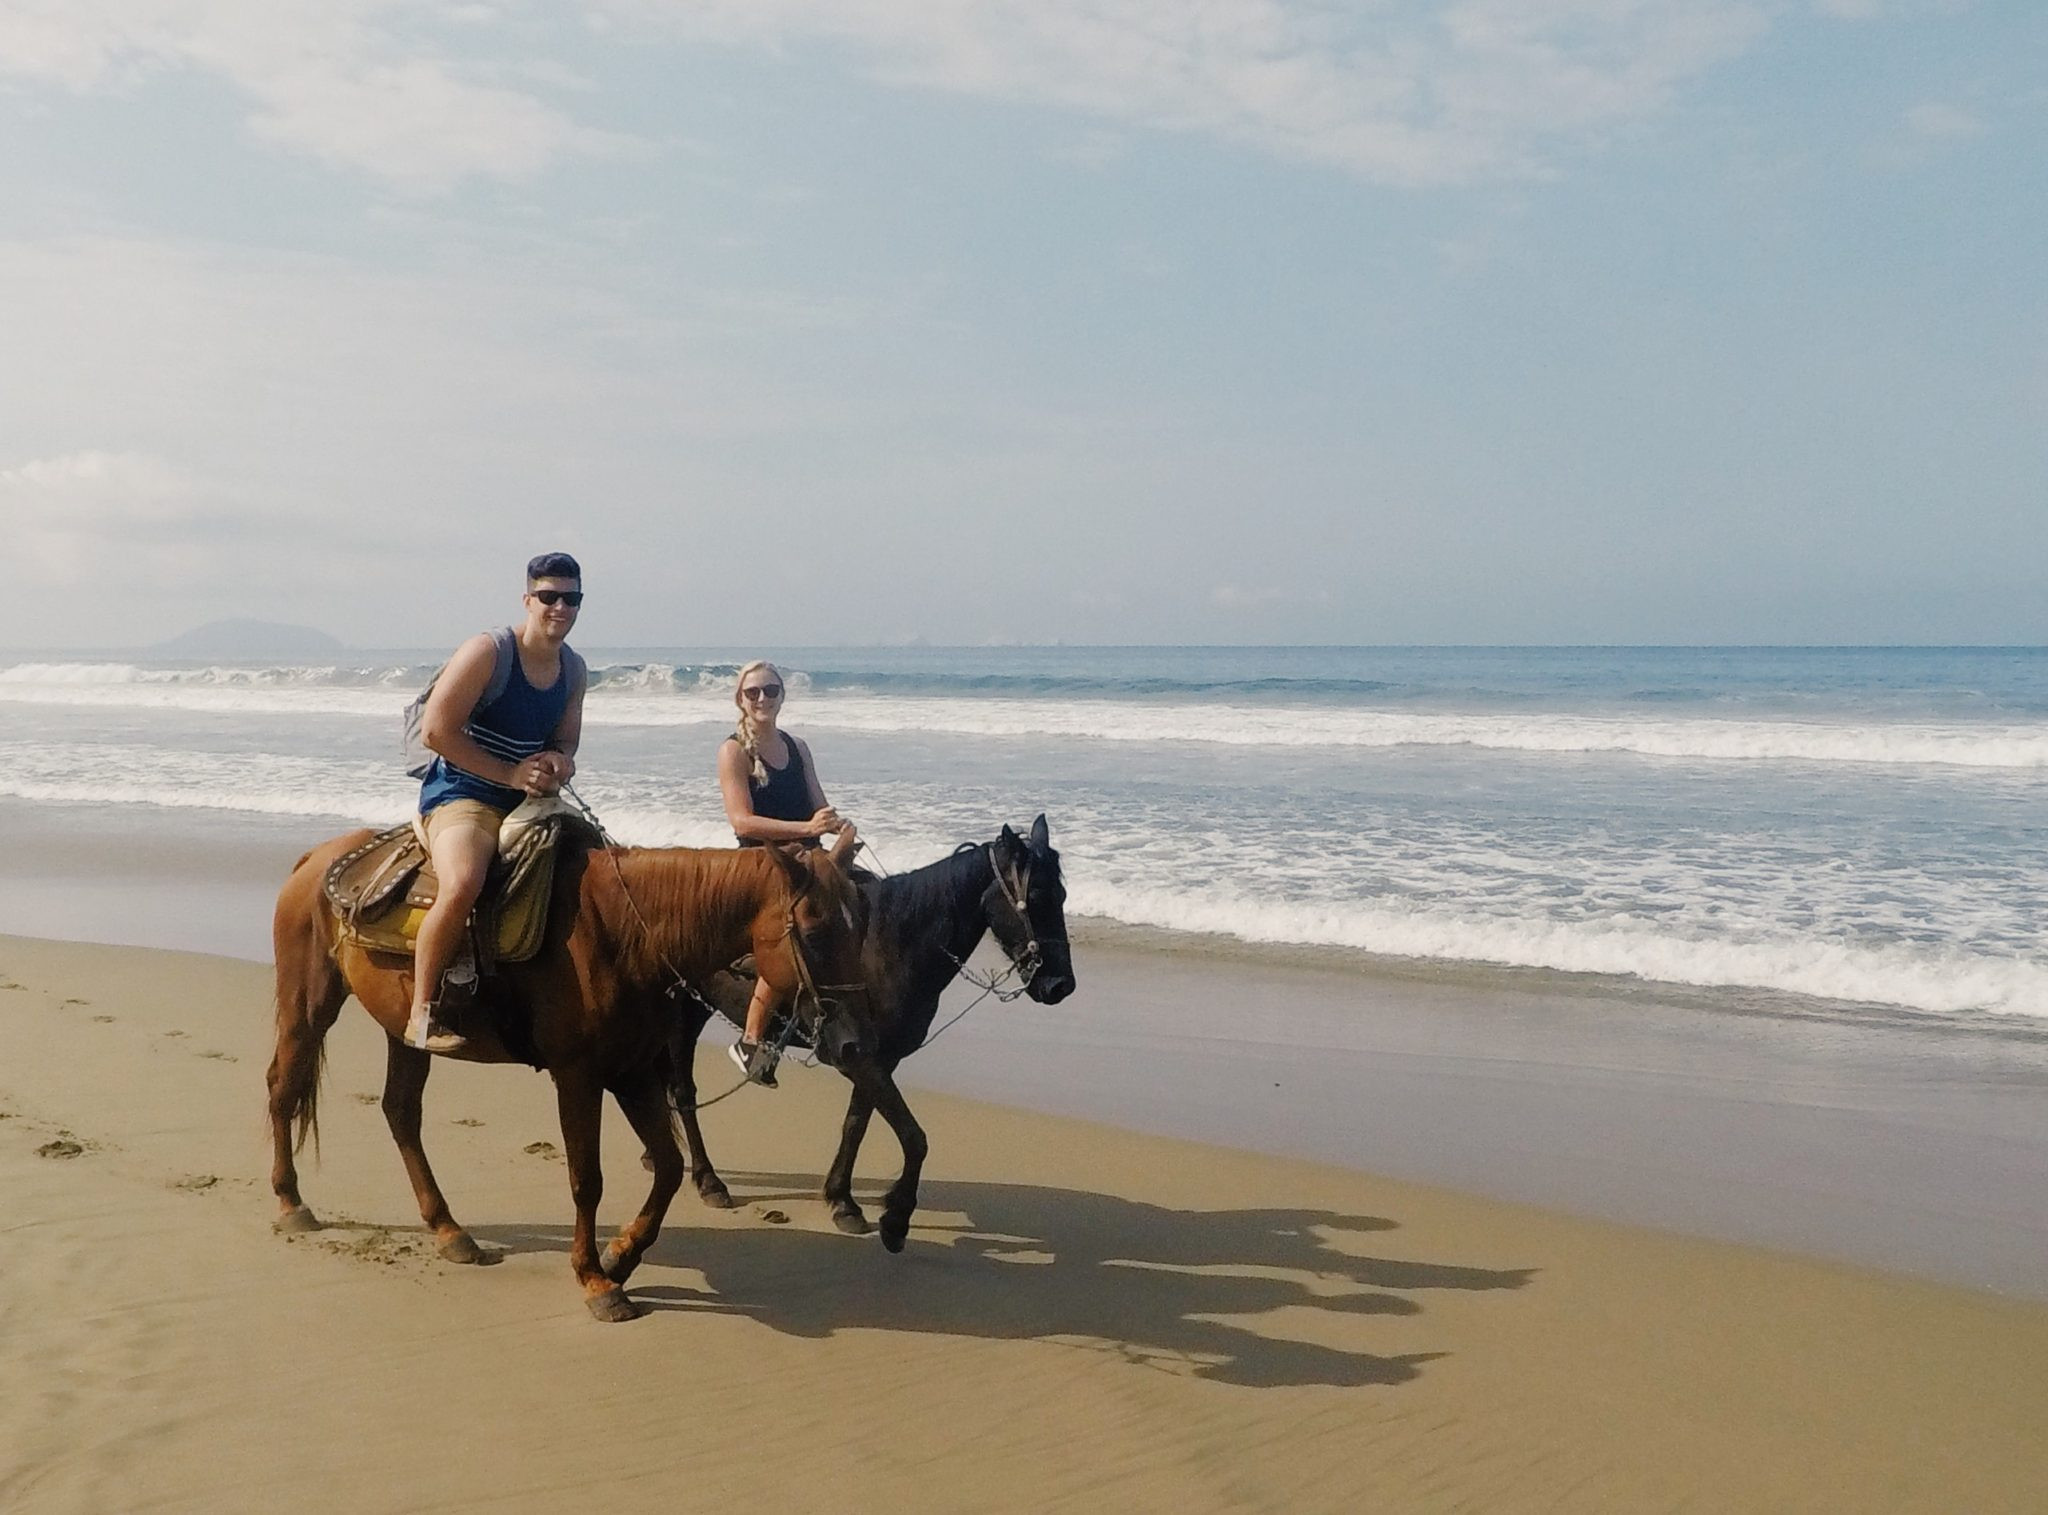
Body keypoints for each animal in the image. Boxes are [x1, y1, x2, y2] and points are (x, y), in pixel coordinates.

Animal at [266, 823, 864, 1318]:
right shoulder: (578, 1075)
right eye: (813, 932)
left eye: (856, 928)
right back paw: (292, 1201)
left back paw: (449, 1230)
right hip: (308, 1006)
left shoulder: (634, 1072)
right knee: (282, 1089)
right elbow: (586, 1179)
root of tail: (316, 859)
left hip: (406, 1029)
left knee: (400, 1112)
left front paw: (620, 1256)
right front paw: (595, 1280)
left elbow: (669, 1169)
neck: (627, 933)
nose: (852, 1041)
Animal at [671, 810, 1081, 1244]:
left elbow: (857, 1124)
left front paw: (842, 1200)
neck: (891, 945)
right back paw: (709, 1180)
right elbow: (913, 1137)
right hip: (681, 1011)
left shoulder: (877, 1057)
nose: (1061, 985)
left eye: (1063, 896)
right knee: (683, 1091)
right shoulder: (857, 1058)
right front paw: (896, 1218)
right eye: (1036, 897)